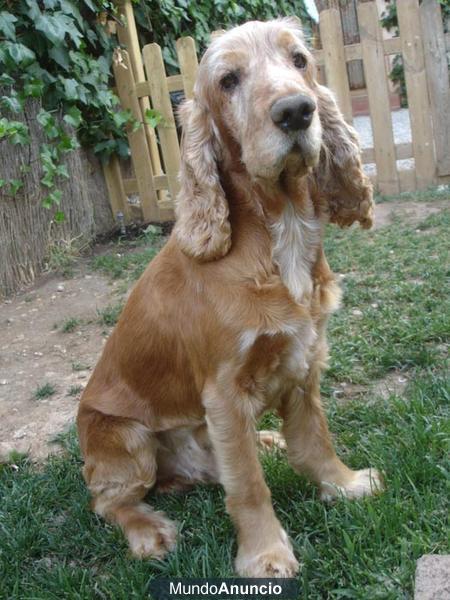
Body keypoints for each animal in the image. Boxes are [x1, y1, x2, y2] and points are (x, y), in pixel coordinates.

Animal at [78, 18, 384, 576]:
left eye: (300, 60)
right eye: (228, 80)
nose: (296, 111)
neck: (282, 228)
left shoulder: (305, 360)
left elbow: (315, 440)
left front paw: (345, 485)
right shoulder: (223, 390)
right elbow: (247, 485)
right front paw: (265, 556)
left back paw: (263, 441)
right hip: (124, 438)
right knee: (108, 500)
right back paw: (149, 530)